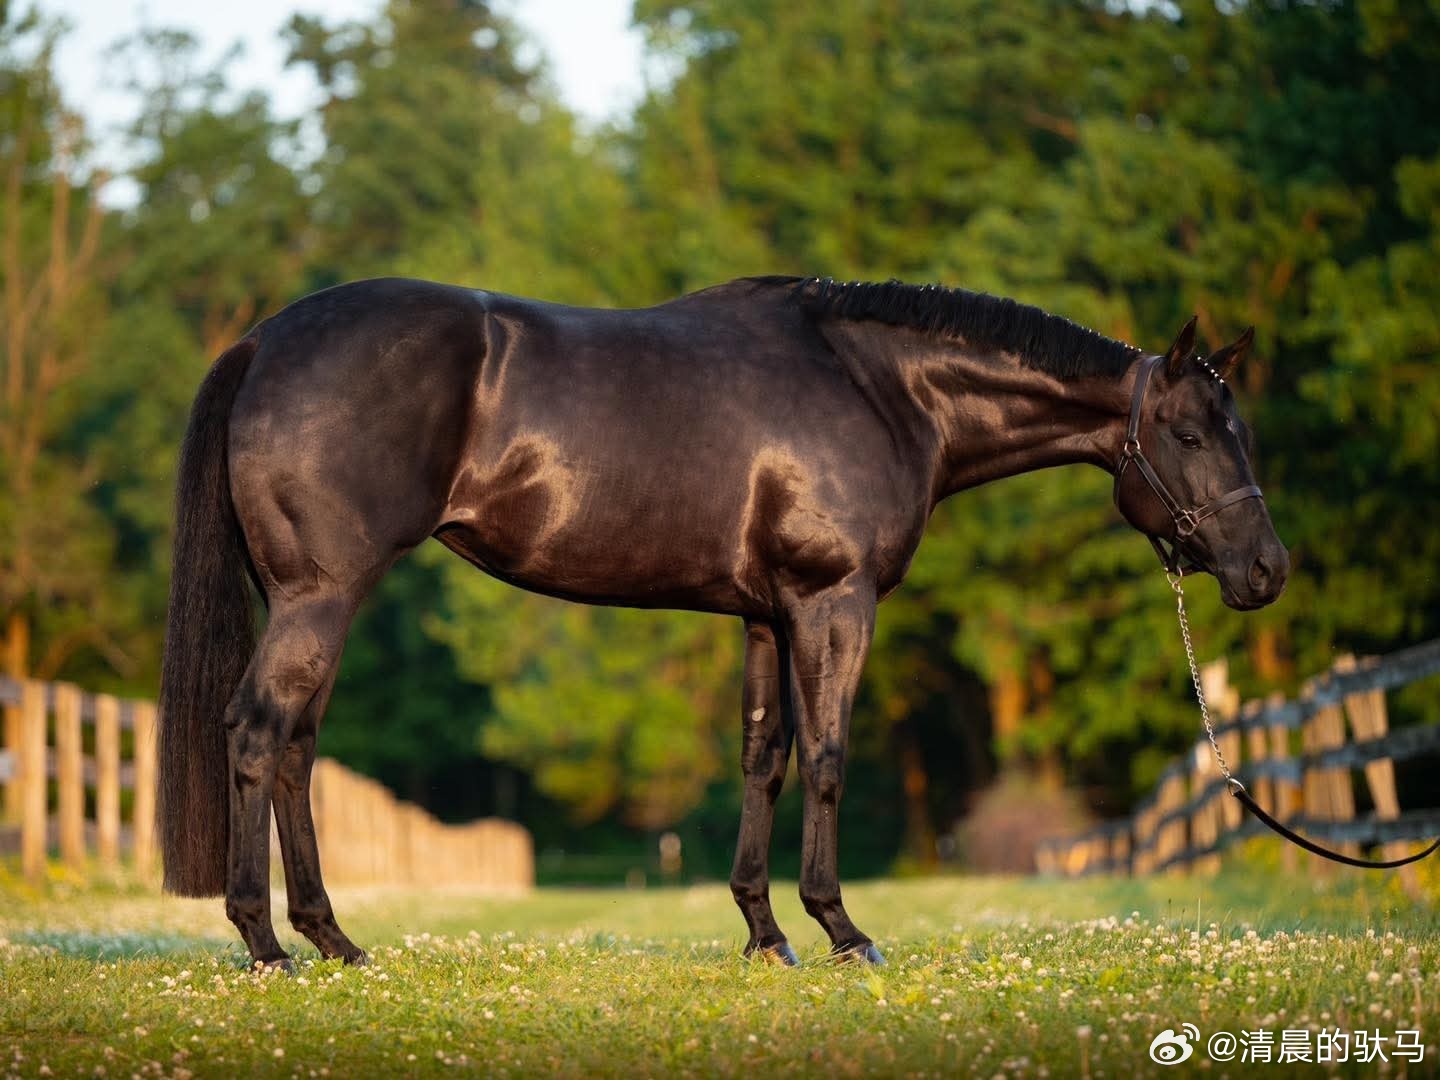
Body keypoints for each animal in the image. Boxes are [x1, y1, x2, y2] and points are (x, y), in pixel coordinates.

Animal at [157, 275, 1287, 969]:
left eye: (1241, 428)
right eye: (1192, 433)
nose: (1265, 571)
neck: (881, 390)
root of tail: (265, 340)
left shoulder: (764, 616)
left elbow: (764, 758)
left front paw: (763, 934)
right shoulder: (833, 602)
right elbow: (826, 757)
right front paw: (842, 931)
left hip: (313, 603)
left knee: (296, 748)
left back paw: (333, 941)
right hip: (319, 597)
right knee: (258, 734)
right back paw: (266, 946)